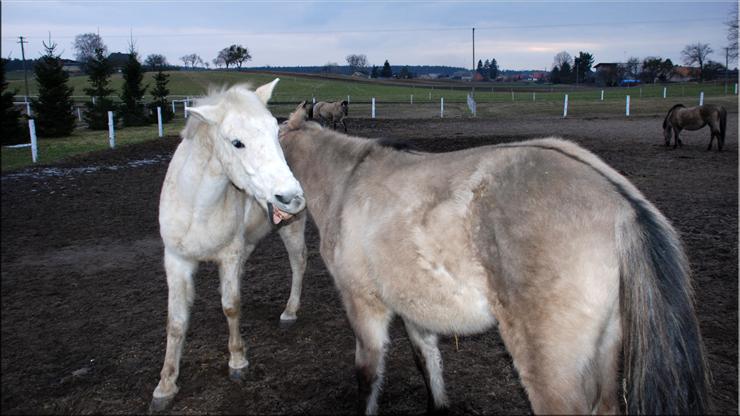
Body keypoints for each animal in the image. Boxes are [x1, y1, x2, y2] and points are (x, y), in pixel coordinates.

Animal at [150, 81, 306, 412]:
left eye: (273, 131)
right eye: (237, 143)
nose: (291, 197)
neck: (197, 207)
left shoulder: (229, 256)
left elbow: (231, 306)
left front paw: (237, 361)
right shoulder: (177, 261)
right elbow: (176, 321)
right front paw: (166, 385)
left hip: (292, 228)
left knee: (299, 262)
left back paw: (290, 311)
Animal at [278, 105, 712, 416]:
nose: (284, 205)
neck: (349, 180)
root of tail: (620, 203)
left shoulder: (363, 305)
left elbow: (367, 376)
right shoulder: (416, 307)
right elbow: (427, 363)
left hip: (551, 371)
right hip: (605, 349)